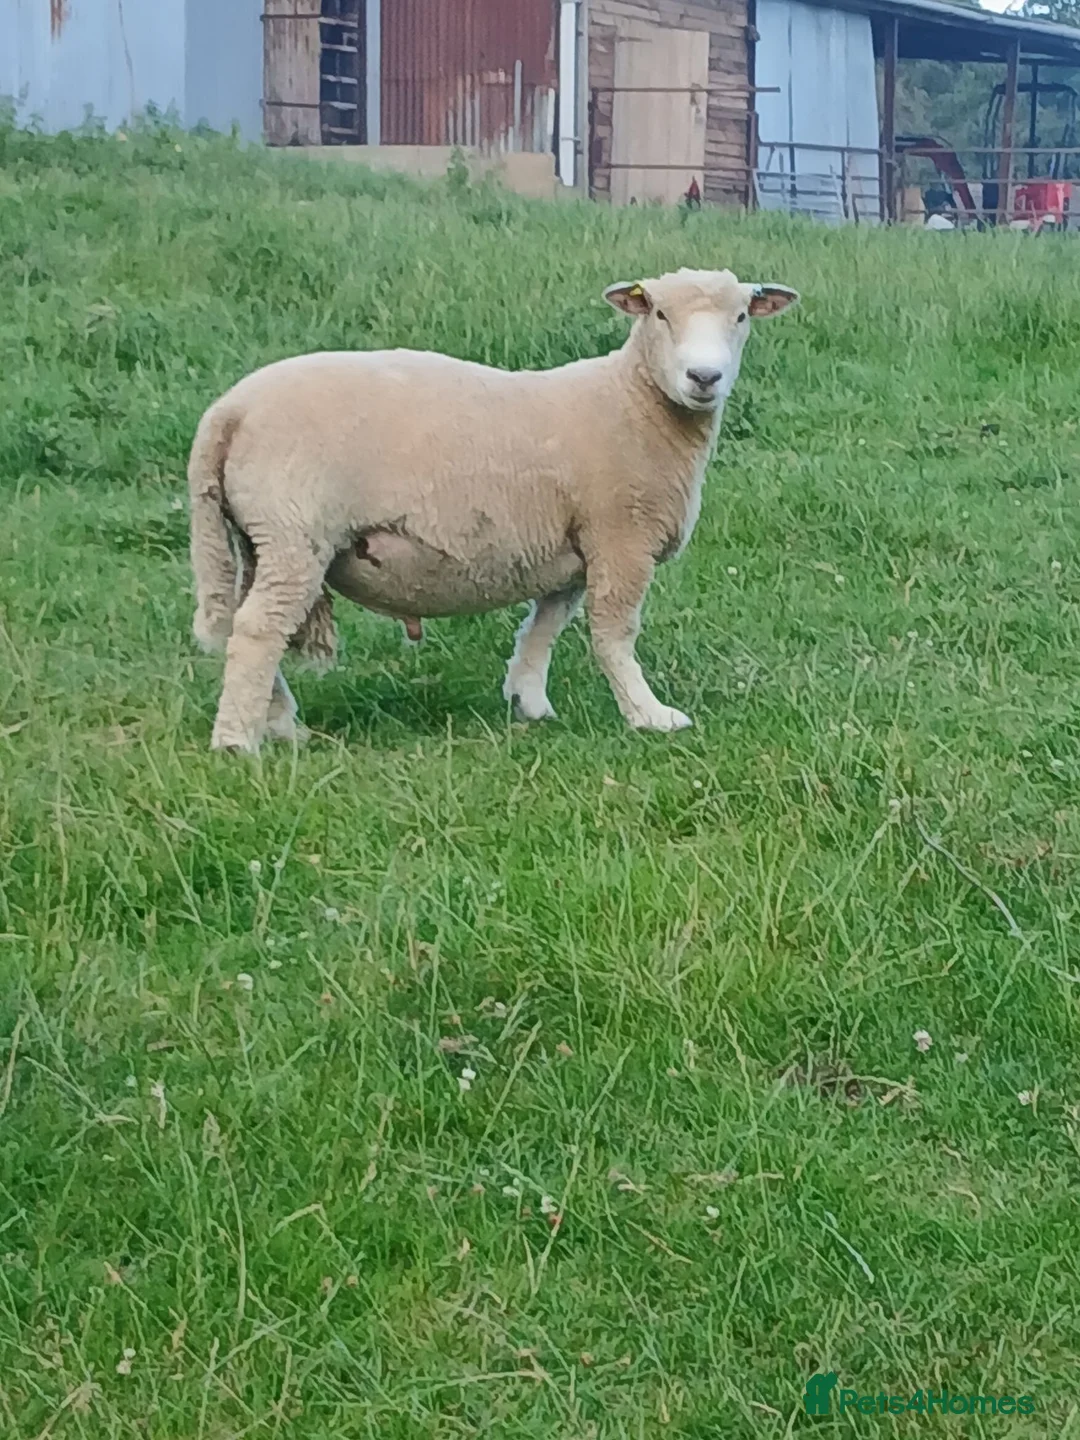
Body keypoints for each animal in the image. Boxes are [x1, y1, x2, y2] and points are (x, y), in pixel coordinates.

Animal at [188, 267, 798, 753]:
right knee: (259, 630)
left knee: (250, 621)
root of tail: (229, 410)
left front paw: (528, 700)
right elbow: (614, 633)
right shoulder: (620, 535)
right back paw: (238, 744)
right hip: (294, 529)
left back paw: (280, 724)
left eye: (740, 316)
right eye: (660, 313)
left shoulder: (572, 542)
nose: (704, 377)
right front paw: (648, 715)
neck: (633, 401)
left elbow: (545, 624)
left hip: (260, 535)